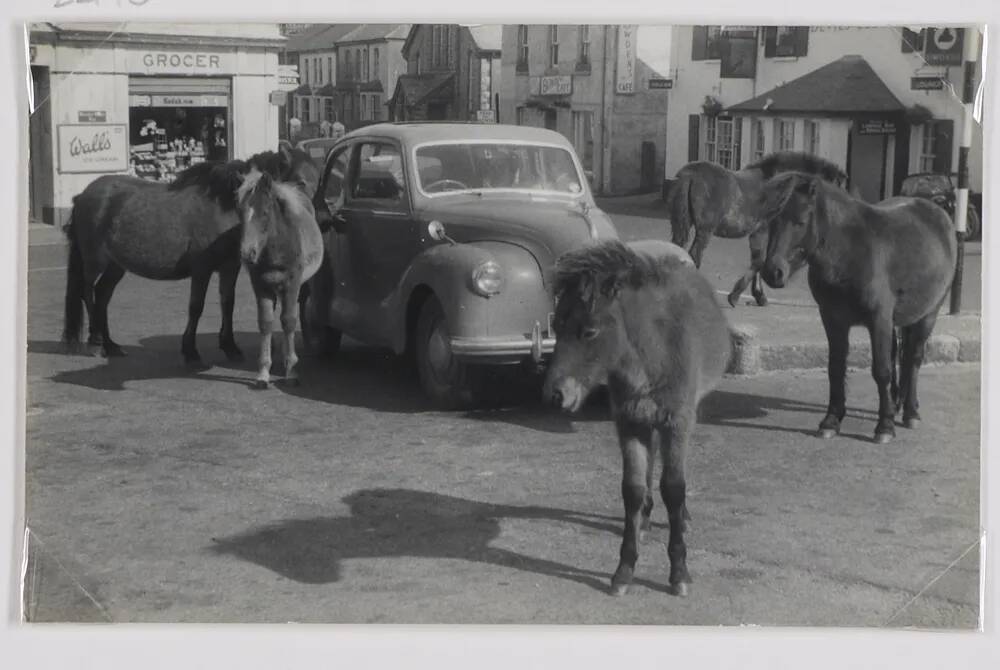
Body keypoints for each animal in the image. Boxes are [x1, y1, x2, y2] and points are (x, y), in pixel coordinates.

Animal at [62, 148, 312, 368]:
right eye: (300, 182)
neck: (224, 206)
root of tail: (83, 195)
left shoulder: (229, 267)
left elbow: (227, 304)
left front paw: (230, 347)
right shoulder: (201, 269)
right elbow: (196, 307)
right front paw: (191, 352)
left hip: (116, 265)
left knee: (102, 295)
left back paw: (111, 345)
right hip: (94, 260)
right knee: (87, 292)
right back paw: (96, 342)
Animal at [236, 167, 322, 388]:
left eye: (265, 213)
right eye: (240, 213)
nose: (247, 254)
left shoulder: (292, 284)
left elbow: (289, 320)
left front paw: (291, 369)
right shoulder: (260, 285)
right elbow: (265, 322)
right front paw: (263, 372)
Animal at [544, 240, 732, 600]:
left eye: (589, 331)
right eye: (556, 326)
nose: (556, 394)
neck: (652, 354)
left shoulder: (677, 421)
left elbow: (674, 487)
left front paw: (679, 573)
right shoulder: (630, 422)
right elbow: (631, 488)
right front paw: (624, 571)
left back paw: (680, 518)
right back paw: (645, 517)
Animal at [668, 152, 848, 308]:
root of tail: (690, 175)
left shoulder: (762, 233)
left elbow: (760, 260)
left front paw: (758, 296)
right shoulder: (763, 230)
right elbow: (760, 261)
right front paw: (736, 296)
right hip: (705, 231)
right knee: (694, 256)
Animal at [756, 173, 960, 446]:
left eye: (800, 221)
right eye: (773, 221)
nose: (772, 273)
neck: (850, 250)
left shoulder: (878, 320)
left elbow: (881, 371)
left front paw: (884, 427)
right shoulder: (833, 320)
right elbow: (836, 367)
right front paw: (831, 421)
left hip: (928, 314)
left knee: (913, 359)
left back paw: (910, 412)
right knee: (900, 358)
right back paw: (898, 404)